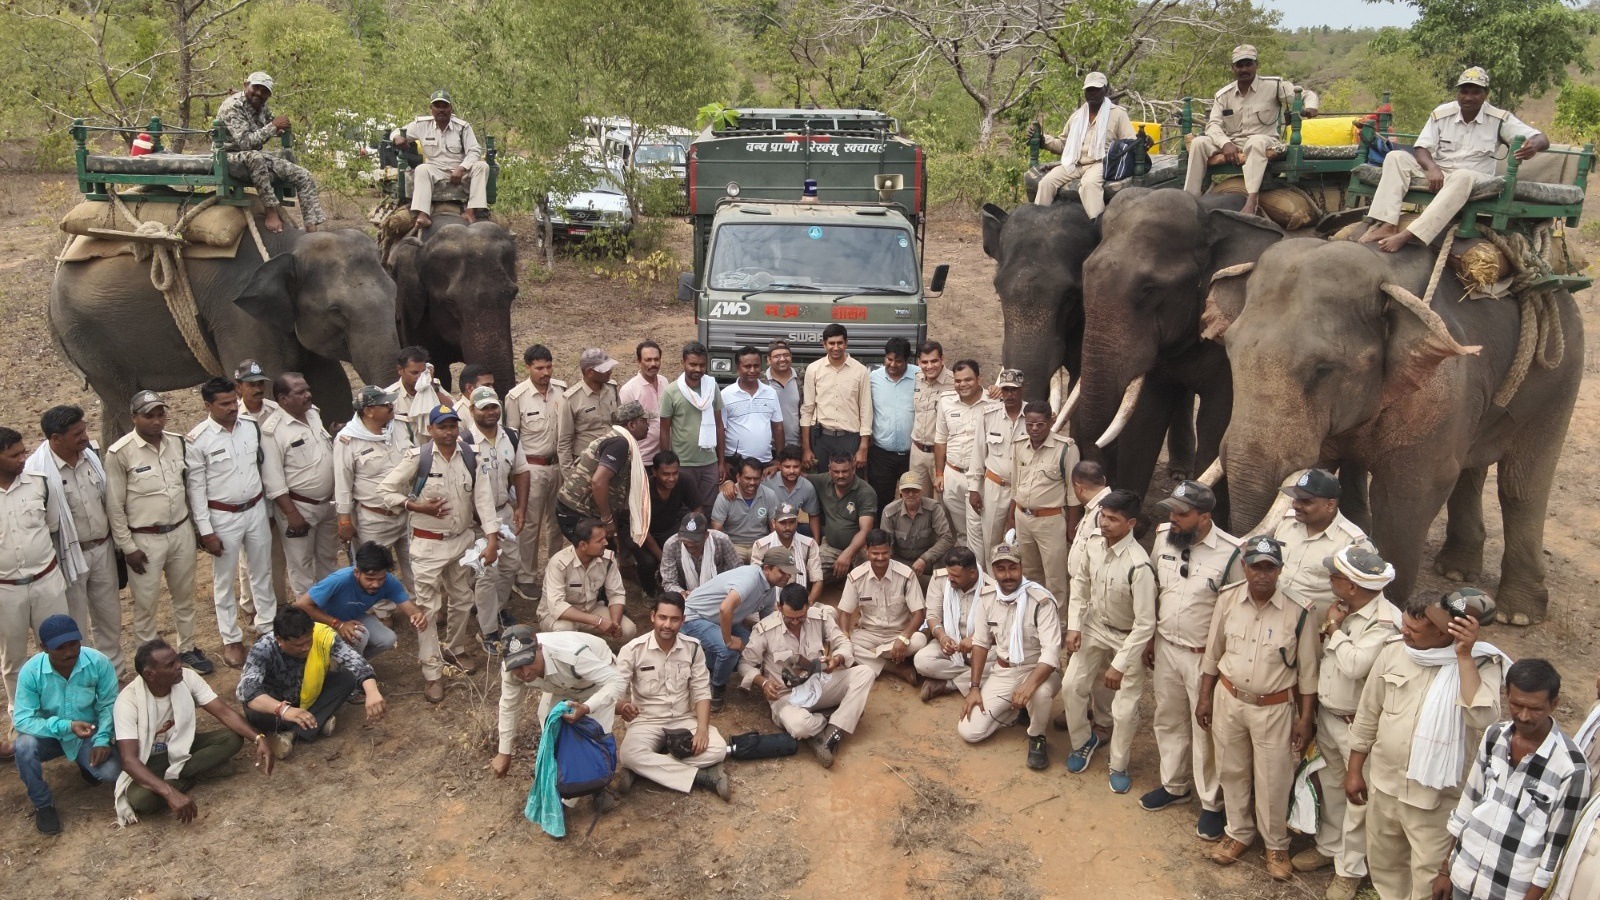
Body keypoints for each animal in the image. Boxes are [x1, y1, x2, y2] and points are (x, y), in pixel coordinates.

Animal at [50, 226, 400, 446]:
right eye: (337, 312)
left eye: (395, 292)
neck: (286, 244)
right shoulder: (237, 316)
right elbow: (268, 389)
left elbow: (331, 385)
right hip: (87, 337)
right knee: (123, 402)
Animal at [1204, 237, 1583, 623]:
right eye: (1229, 350)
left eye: (1323, 369)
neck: (1385, 273)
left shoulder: (1439, 391)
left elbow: (1412, 492)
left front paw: (1387, 607)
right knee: (1471, 470)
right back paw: (1456, 571)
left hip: (1561, 374)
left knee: (1522, 485)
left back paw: (1518, 614)